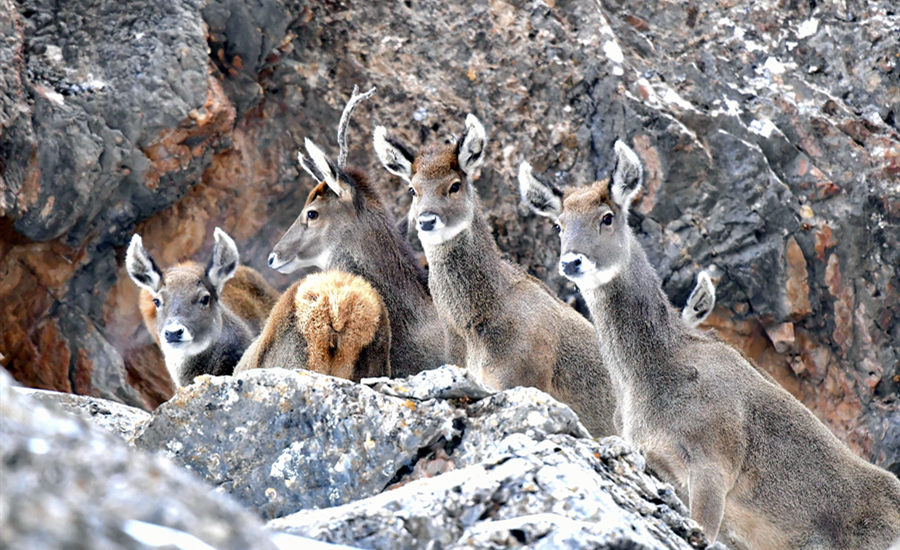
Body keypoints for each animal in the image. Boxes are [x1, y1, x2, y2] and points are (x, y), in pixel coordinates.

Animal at [520, 141, 900, 550]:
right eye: (558, 224)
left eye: (607, 217)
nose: (572, 262)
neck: (652, 376)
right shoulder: (659, 465)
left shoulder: (713, 459)